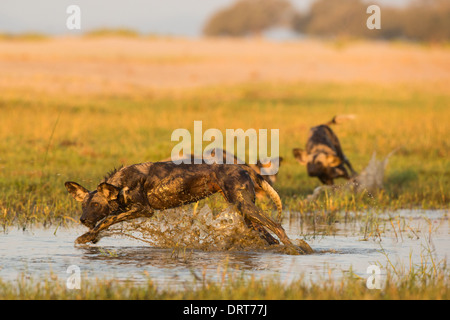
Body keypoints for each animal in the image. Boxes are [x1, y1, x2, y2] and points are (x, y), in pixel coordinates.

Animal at [65, 162, 312, 255]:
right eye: (84, 206)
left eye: (96, 205)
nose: (83, 219)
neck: (121, 183)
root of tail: (243, 167)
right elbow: (106, 222)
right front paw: (91, 236)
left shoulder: (143, 209)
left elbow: (107, 220)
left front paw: (87, 236)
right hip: (246, 215)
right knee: (269, 237)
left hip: (246, 208)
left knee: (278, 226)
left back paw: (295, 250)